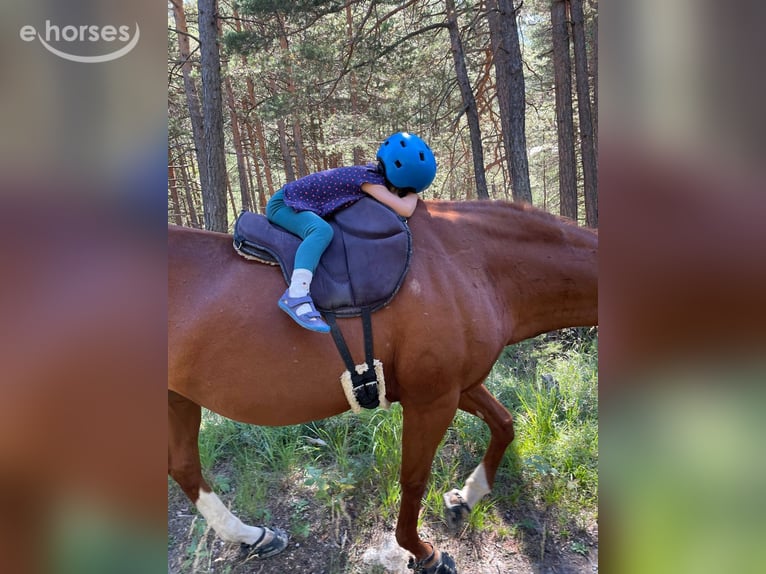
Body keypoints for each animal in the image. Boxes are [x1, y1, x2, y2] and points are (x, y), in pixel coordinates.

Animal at [168, 198, 598, 573]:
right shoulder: (432, 399)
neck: (471, 264)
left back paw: (252, 536)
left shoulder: (458, 386)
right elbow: (414, 479)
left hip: (178, 399)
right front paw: (422, 551)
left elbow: (505, 424)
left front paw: (467, 496)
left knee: (185, 468)